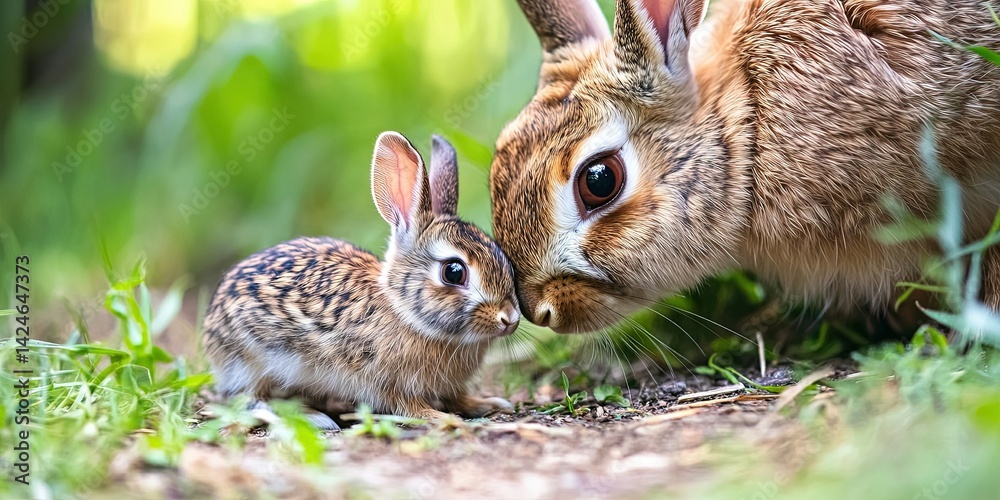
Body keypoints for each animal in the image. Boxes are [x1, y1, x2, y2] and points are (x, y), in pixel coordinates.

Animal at [202, 132, 519, 430]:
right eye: (454, 272)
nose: (510, 319)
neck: (405, 313)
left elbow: (457, 397)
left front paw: (488, 403)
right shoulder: (386, 381)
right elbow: (409, 407)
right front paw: (443, 418)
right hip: (249, 361)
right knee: (250, 399)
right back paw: (314, 417)